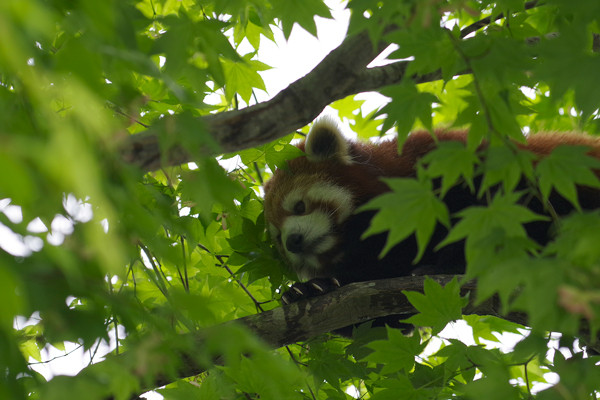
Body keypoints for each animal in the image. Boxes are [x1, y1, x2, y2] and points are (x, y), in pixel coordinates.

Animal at [264, 119, 600, 304]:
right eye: (278, 238)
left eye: (299, 206)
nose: (293, 241)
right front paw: (310, 289)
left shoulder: (444, 159)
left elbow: (476, 210)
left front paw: (449, 264)